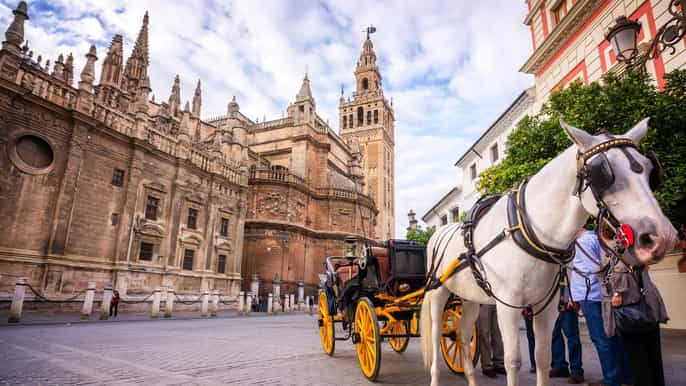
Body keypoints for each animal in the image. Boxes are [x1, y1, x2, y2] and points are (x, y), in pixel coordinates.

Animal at [422, 118, 680, 386]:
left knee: (462, 335)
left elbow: (542, 357)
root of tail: (439, 234)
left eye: (650, 170)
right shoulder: (508, 305)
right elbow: (513, 361)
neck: (530, 232)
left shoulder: (546, 306)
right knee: (436, 335)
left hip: (472, 297)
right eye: (602, 172)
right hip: (439, 292)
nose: (663, 236)